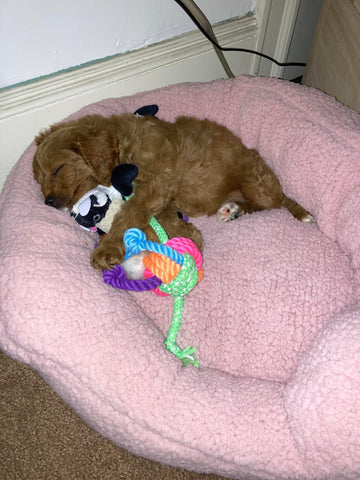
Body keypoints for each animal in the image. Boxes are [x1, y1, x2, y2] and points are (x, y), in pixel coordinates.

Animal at [33, 113, 312, 270]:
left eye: (57, 169)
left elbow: (128, 215)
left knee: (277, 201)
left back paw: (300, 212)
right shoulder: (163, 195)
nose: (47, 202)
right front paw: (188, 237)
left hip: (257, 182)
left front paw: (107, 249)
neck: (123, 145)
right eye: (39, 179)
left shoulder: (156, 184)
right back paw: (232, 209)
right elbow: (163, 218)